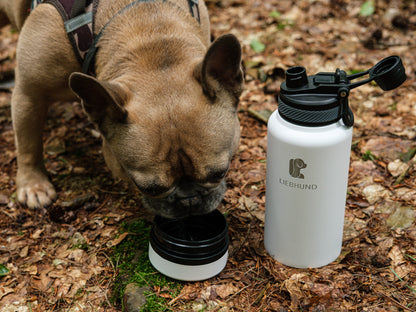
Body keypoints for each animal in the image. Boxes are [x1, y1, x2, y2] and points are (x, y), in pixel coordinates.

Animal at [1, 0, 244, 218]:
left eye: (221, 172)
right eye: (149, 188)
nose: (189, 200)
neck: (150, 36)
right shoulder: (29, 94)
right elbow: (28, 144)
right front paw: (33, 185)